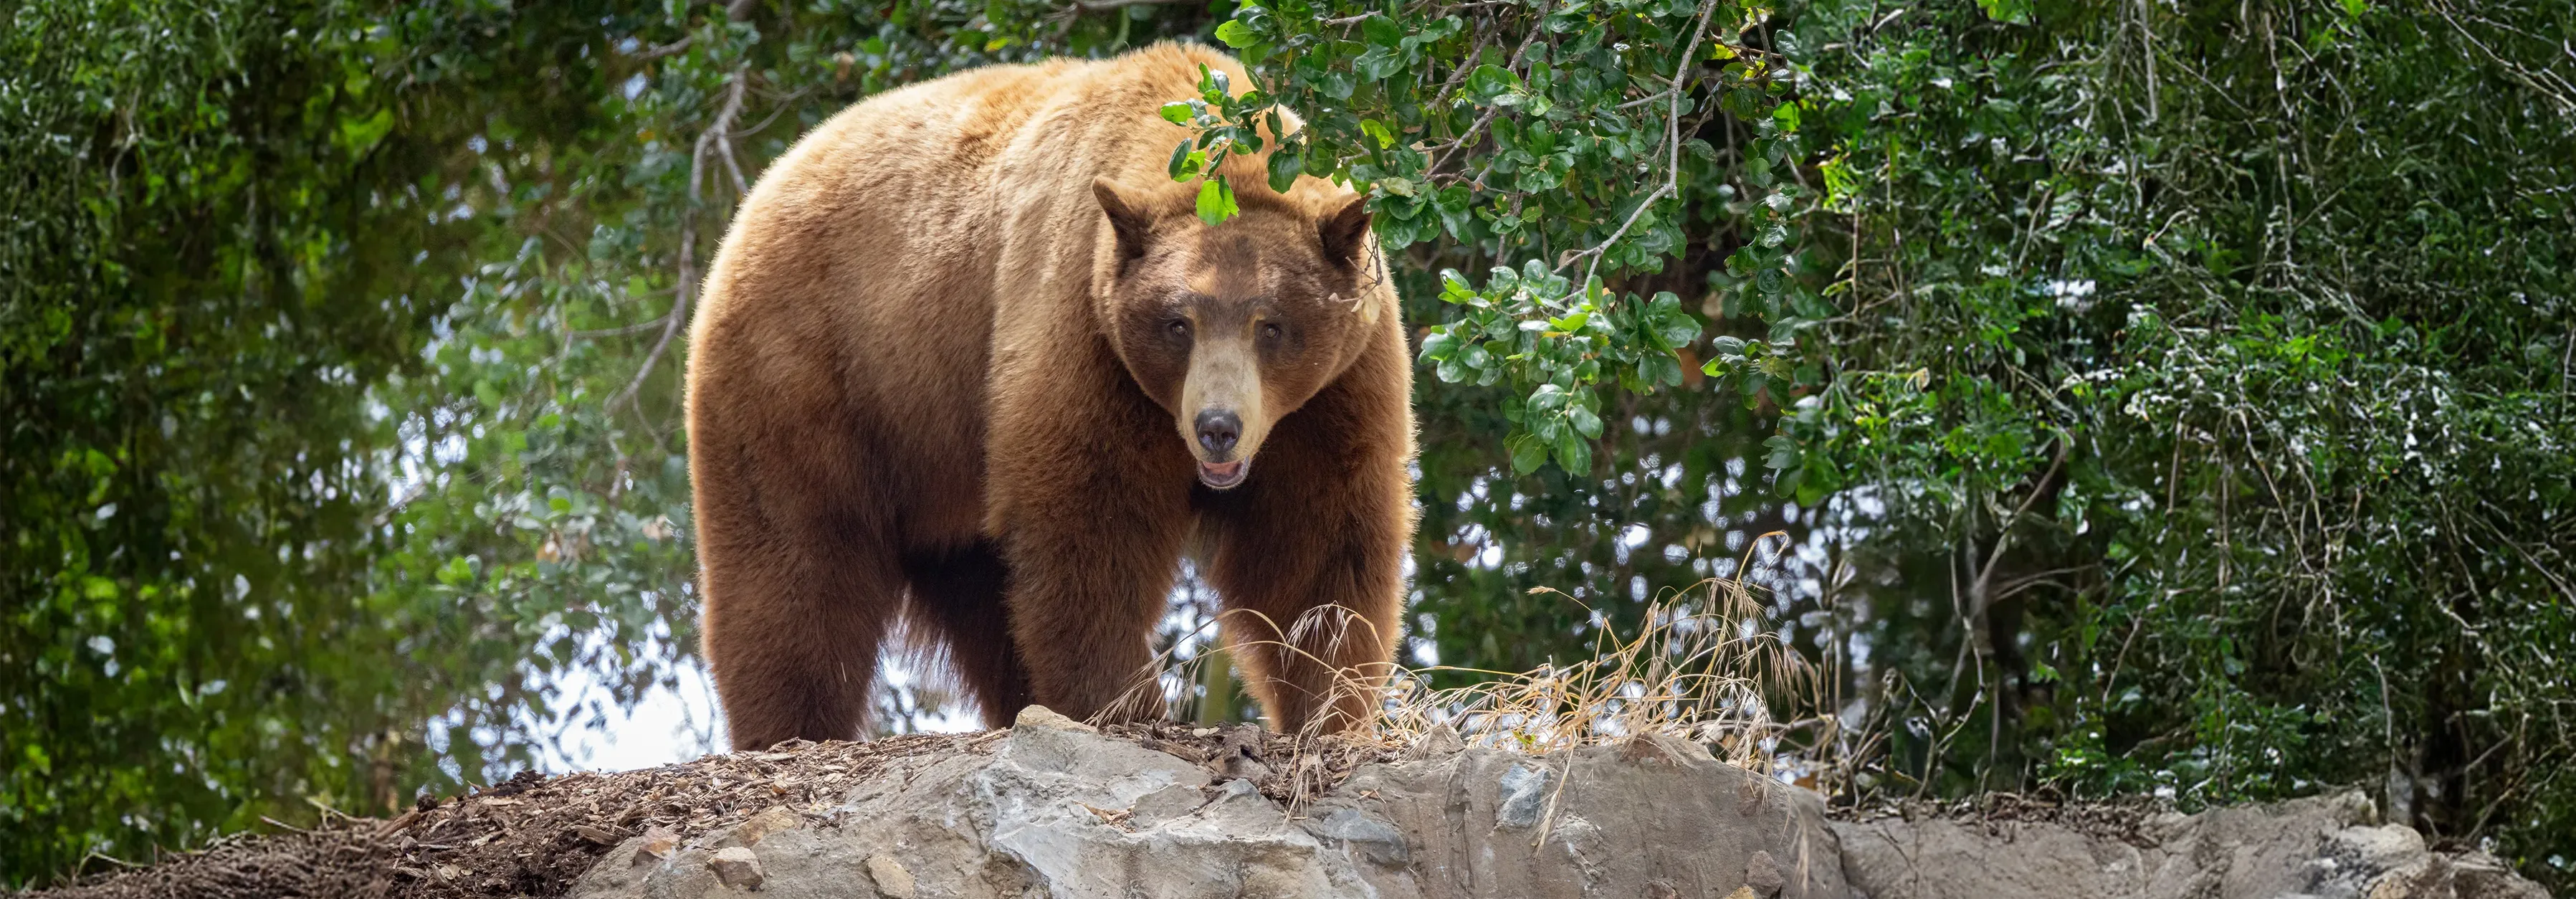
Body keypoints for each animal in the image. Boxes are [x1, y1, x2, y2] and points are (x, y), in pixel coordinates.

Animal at [684, 43, 1417, 750]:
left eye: (1272, 325)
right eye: (1177, 323)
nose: (1218, 427)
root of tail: (763, 192)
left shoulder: (1333, 393)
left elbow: (1318, 540)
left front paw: (1331, 705)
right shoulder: (1082, 330)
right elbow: (1088, 517)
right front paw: (1127, 704)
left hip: (946, 465)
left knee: (984, 598)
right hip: (824, 372)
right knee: (797, 562)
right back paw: (789, 728)